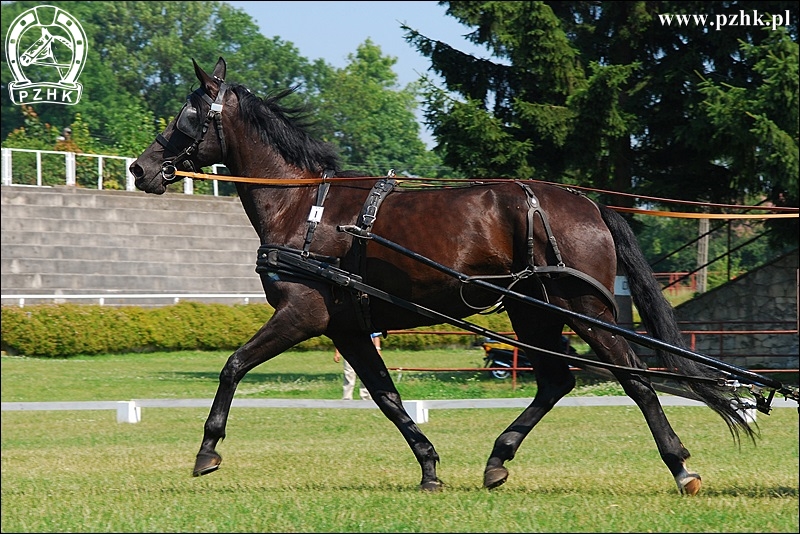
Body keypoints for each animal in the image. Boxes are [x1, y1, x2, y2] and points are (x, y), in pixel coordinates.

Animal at [128, 57, 752, 494]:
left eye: (188, 115)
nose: (139, 168)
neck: (303, 209)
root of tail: (590, 205)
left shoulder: (302, 314)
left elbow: (233, 365)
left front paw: (208, 450)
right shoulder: (348, 327)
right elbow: (386, 396)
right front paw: (429, 466)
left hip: (584, 310)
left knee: (635, 380)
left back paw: (680, 467)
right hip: (532, 310)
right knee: (556, 381)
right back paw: (498, 459)